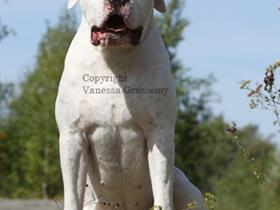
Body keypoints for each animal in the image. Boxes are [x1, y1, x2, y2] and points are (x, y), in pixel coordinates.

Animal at [55, 0, 203, 210]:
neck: (115, 62)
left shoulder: (159, 133)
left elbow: (163, 189)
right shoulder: (73, 137)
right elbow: (73, 195)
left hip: (184, 186)